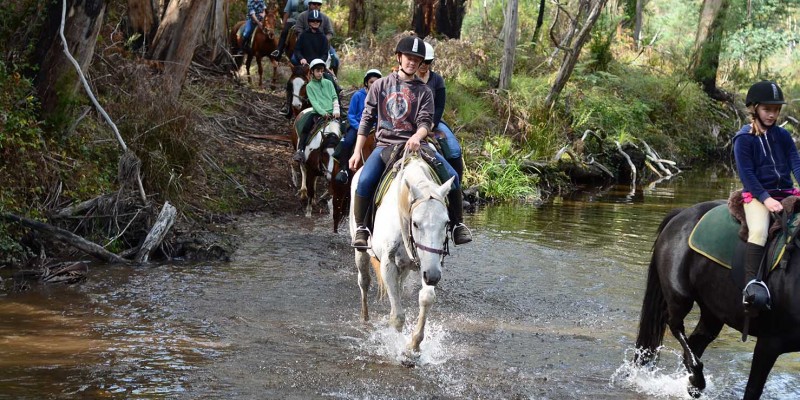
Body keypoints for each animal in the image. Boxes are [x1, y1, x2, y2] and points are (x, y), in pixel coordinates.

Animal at [350, 152, 456, 358]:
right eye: (416, 223)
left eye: (446, 222)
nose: (433, 276)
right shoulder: (389, 264)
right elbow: (397, 316)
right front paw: (397, 347)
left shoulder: (428, 263)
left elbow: (426, 298)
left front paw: (414, 346)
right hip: (361, 251)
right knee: (364, 281)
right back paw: (365, 319)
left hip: (406, 267)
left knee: (398, 286)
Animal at [636, 202, 800, 398]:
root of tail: (682, 213)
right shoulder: (769, 343)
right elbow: (753, 389)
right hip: (680, 296)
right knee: (675, 325)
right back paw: (697, 381)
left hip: (713, 311)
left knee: (696, 342)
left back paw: (693, 383)